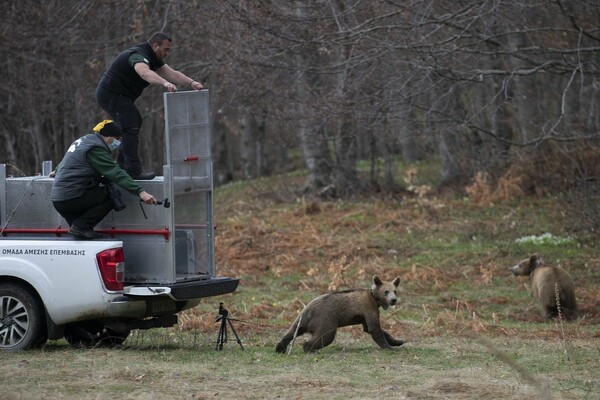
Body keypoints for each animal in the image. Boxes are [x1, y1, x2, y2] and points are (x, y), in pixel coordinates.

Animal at [276, 276, 404, 354]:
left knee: (292, 331)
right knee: (326, 336)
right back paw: (310, 348)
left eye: (395, 291)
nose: (393, 300)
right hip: (326, 319)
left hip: (302, 320)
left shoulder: (365, 315)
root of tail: (309, 308)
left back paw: (280, 348)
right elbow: (374, 329)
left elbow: (369, 328)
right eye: (386, 291)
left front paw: (398, 341)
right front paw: (389, 347)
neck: (375, 299)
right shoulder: (368, 308)